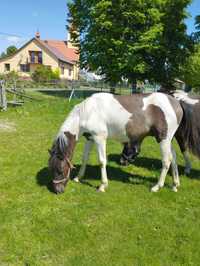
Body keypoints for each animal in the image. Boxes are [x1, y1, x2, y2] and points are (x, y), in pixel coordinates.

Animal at [48, 93, 183, 193]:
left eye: (60, 170)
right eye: (51, 168)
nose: (57, 190)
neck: (88, 111)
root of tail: (176, 103)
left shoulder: (100, 138)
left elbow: (102, 161)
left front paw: (102, 186)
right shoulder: (90, 138)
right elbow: (85, 158)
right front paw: (78, 178)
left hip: (163, 139)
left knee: (166, 161)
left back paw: (157, 187)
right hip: (168, 140)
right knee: (174, 157)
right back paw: (175, 185)